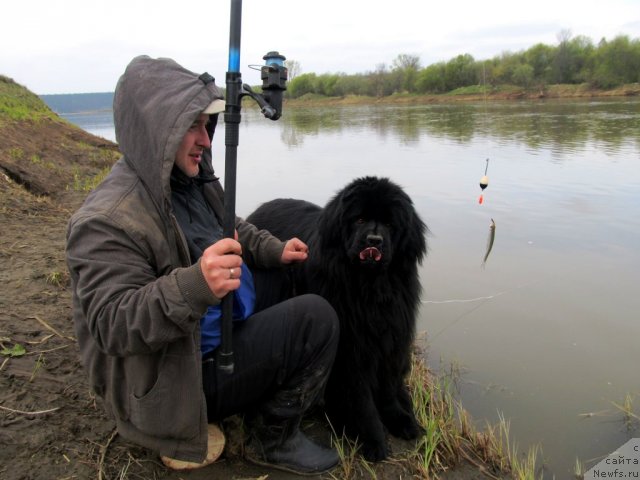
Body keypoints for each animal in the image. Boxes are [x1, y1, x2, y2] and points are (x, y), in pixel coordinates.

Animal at [248, 176, 428, 462]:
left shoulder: (391, 339)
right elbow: (360, 398)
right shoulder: (351, 349)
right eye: (360, 219)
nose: (374, 240)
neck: (369, 289)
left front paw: (400, 419)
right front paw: (373, 438)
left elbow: (388, 386)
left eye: (390, 224)